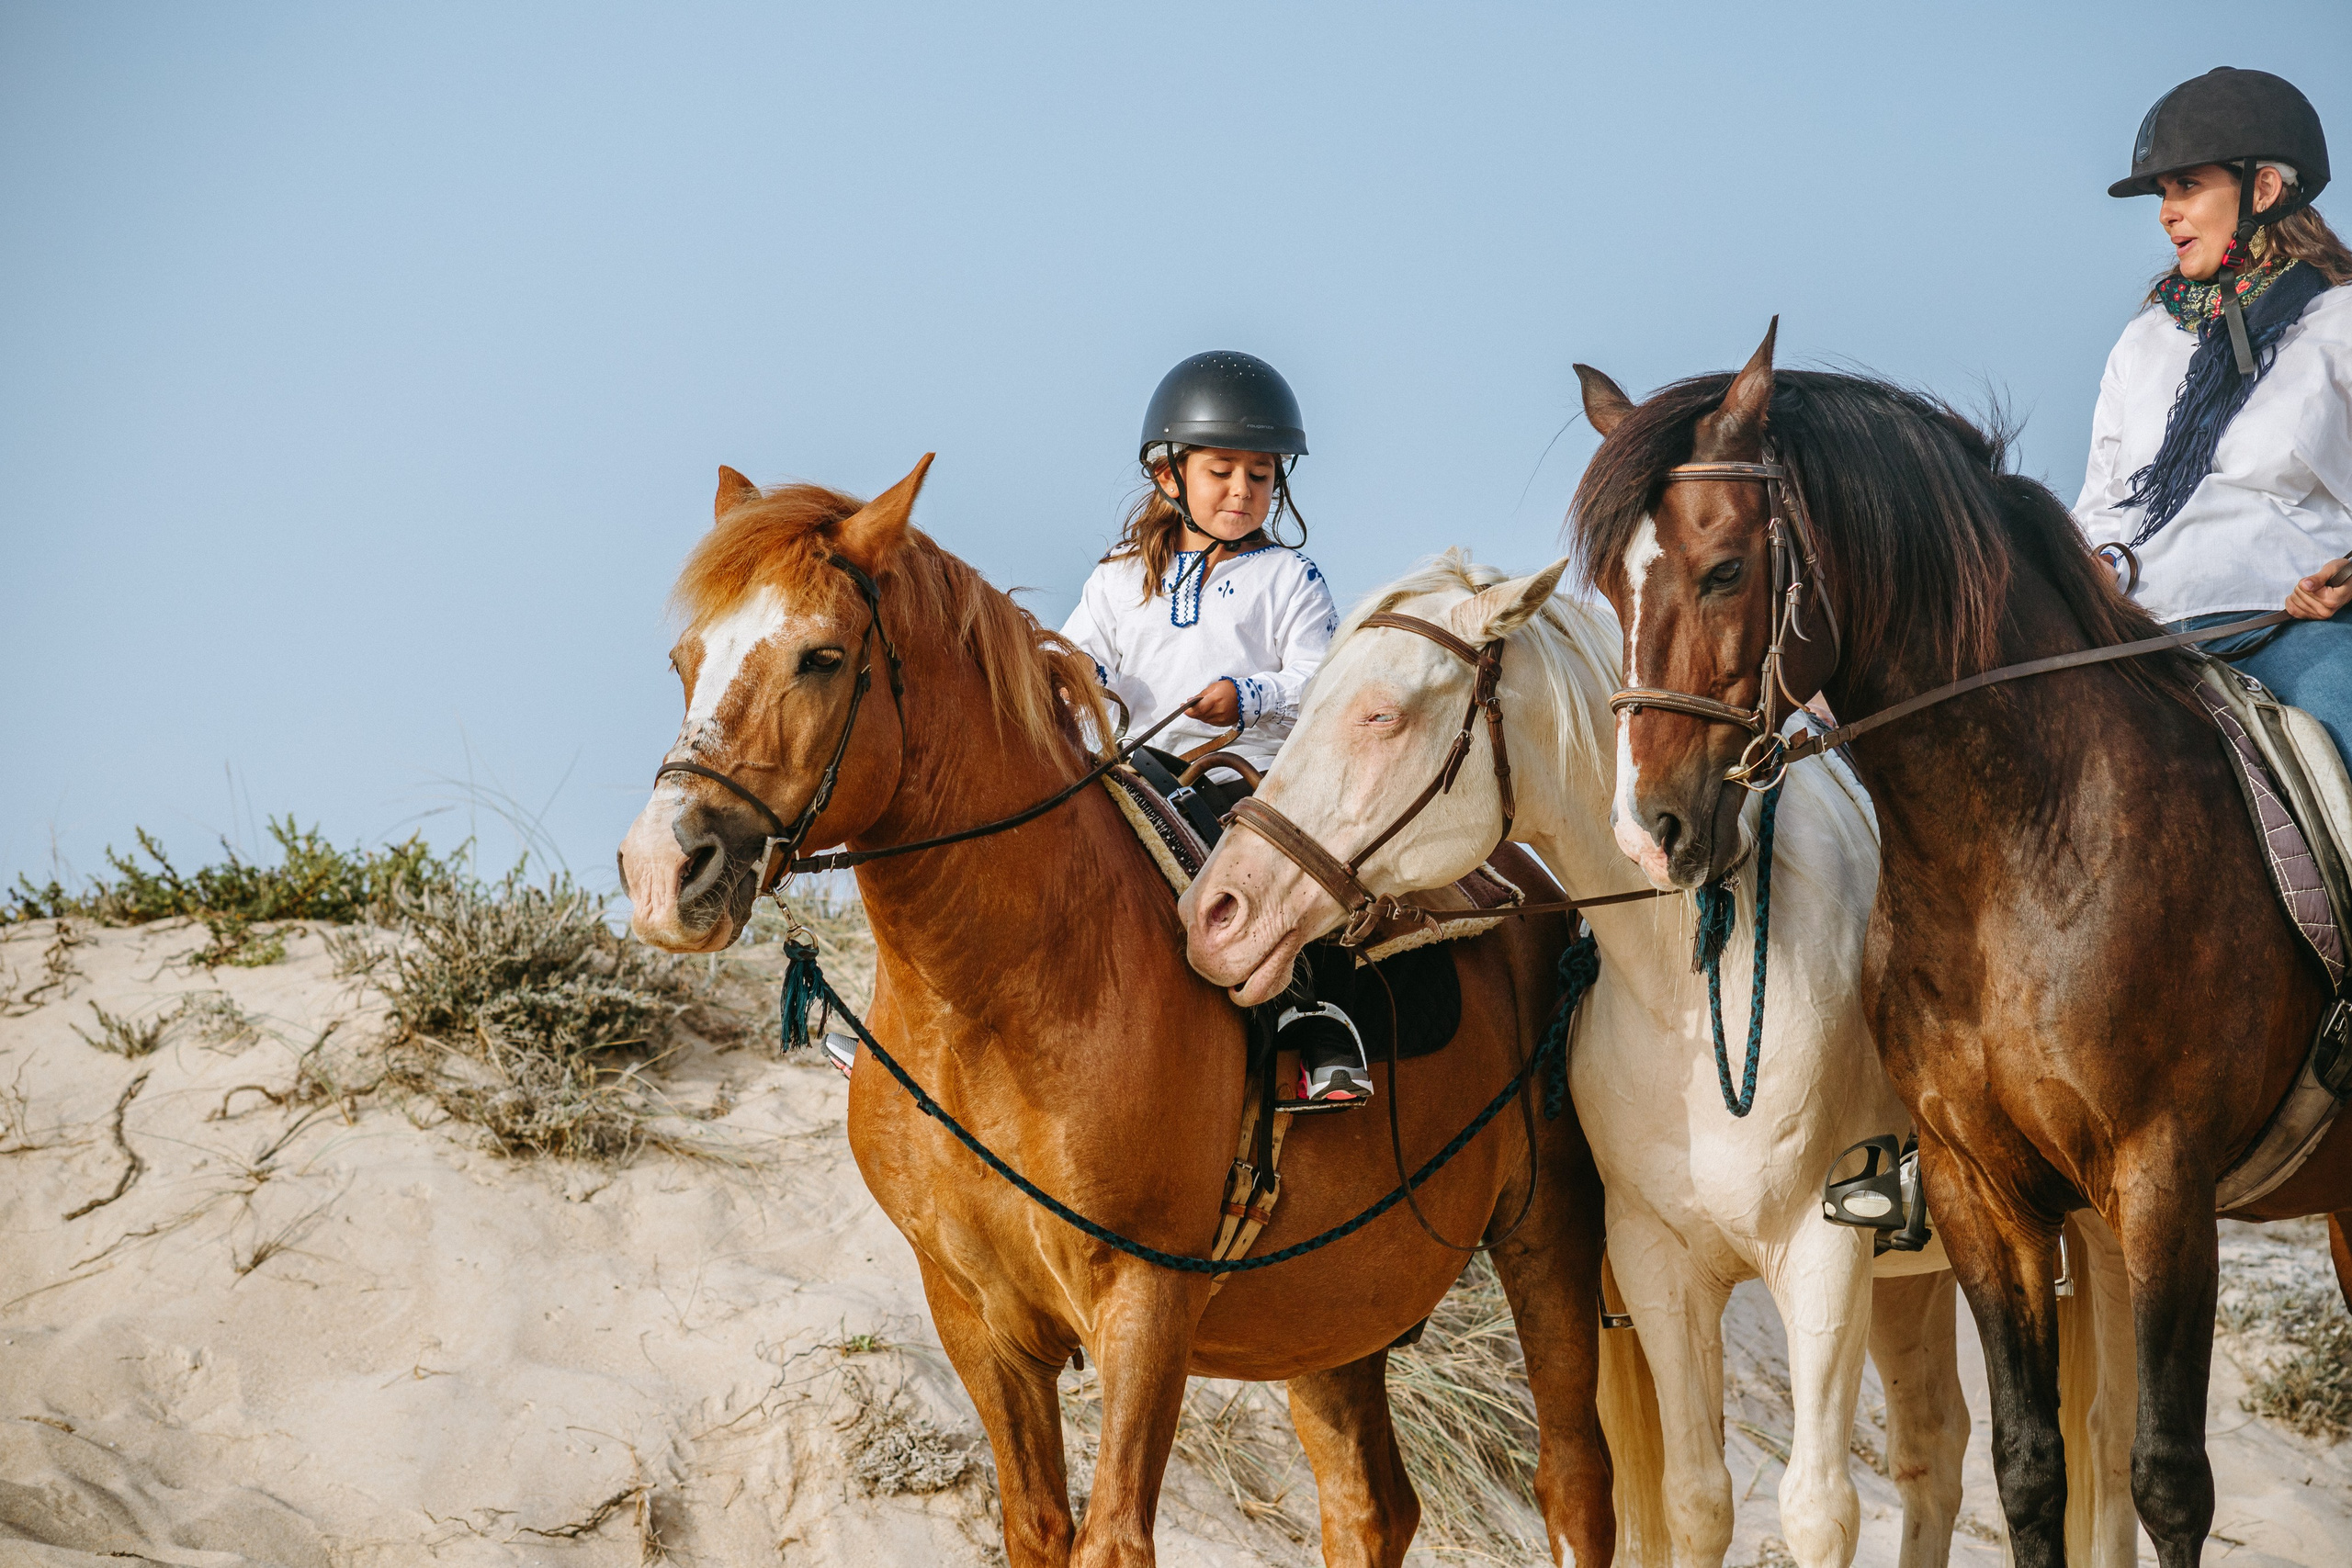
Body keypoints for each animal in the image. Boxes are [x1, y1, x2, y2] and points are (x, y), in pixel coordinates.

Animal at [616, 457, 1644, 1568]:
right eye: (685, 658)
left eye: (822, 656)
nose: (664, 870)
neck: (1003, 997)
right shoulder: (976, 1318)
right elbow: (1036, 1529)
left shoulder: (1144, 1306)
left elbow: (1111, 1538)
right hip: (1331, 1312)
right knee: (1370, 1507)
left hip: (1546, 1241)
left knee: (1573, 1484)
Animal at [1178, 550, 1998, 1567]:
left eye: (1381, 715)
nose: (1218, 912)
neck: (1700, 971)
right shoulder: (1657, 1264)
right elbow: (1697, 1500)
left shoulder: (1823, 1258)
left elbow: (1817, 1510)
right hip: (1914, 1283)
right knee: (1935, 1445)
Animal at [1566, 327, 2352, 1567]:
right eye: (1610, 584)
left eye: (1726, 569)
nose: (1652, 829)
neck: (2023, 846)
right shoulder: (1983, 1190)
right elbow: (2031, 1470)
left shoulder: (2162, 1183)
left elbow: (2168, 1480)